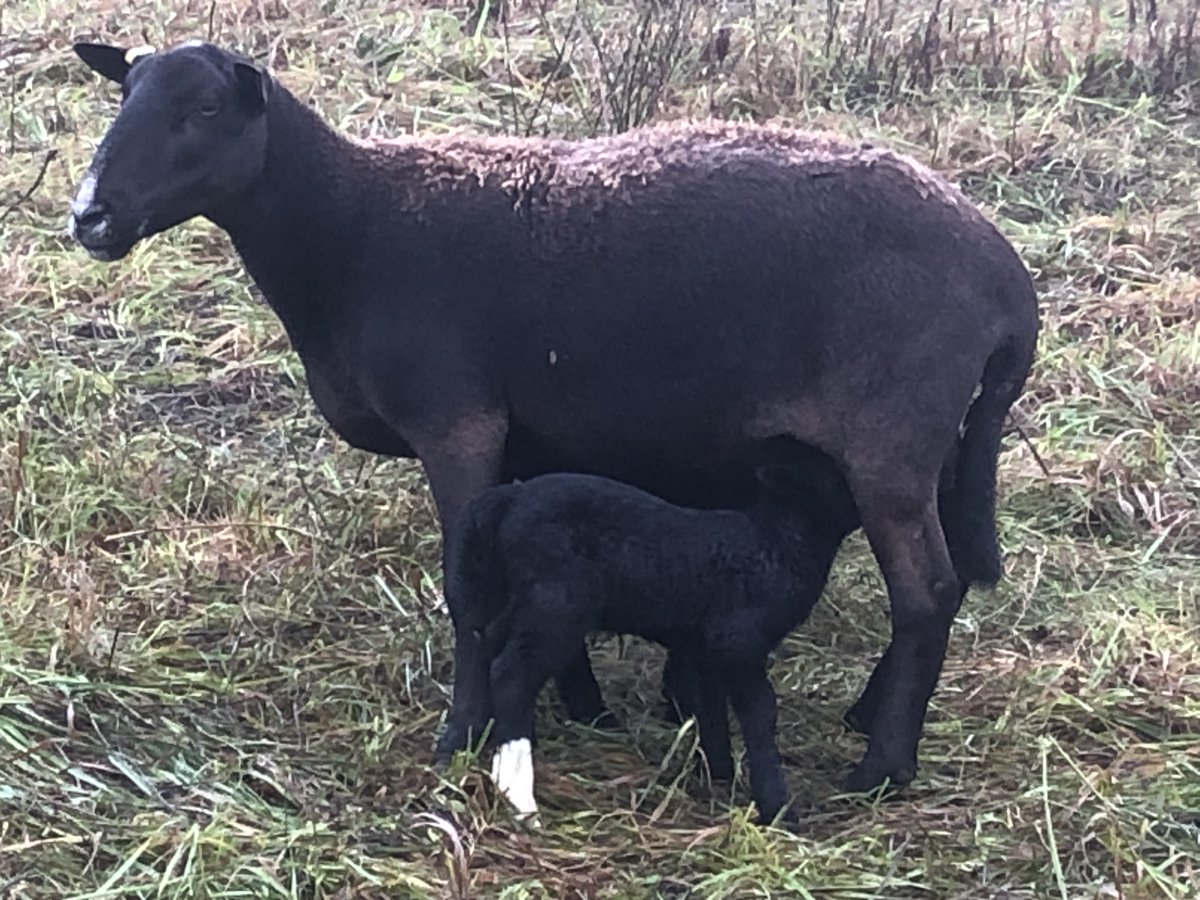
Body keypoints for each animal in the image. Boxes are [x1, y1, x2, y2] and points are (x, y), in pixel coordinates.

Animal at [446, 454, 862, 827]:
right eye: (839, 481)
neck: (779, 544)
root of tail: (509, 499)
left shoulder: (705, 648)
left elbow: (708, 706)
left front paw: (718, 776)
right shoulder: (738, 641)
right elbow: (760, 712)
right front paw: (779, 809)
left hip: (525, 601)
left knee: (488, 644)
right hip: (557, 605)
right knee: (512, 675)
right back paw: (520, 798)